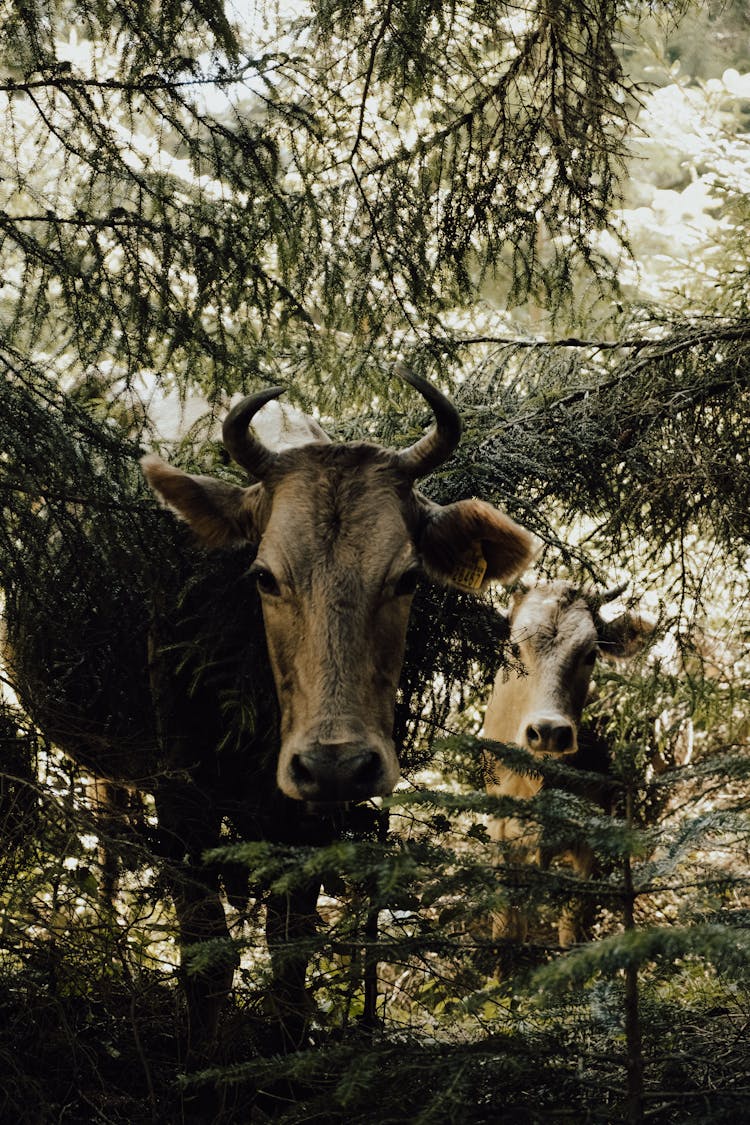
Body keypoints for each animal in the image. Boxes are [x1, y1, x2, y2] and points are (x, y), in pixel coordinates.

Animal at [481, 585, 652, 954]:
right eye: (514, 647)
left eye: (590, 655)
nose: (548, 731)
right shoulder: (501, 830)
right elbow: (507, 929)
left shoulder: (591, 836)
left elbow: (572, 927)